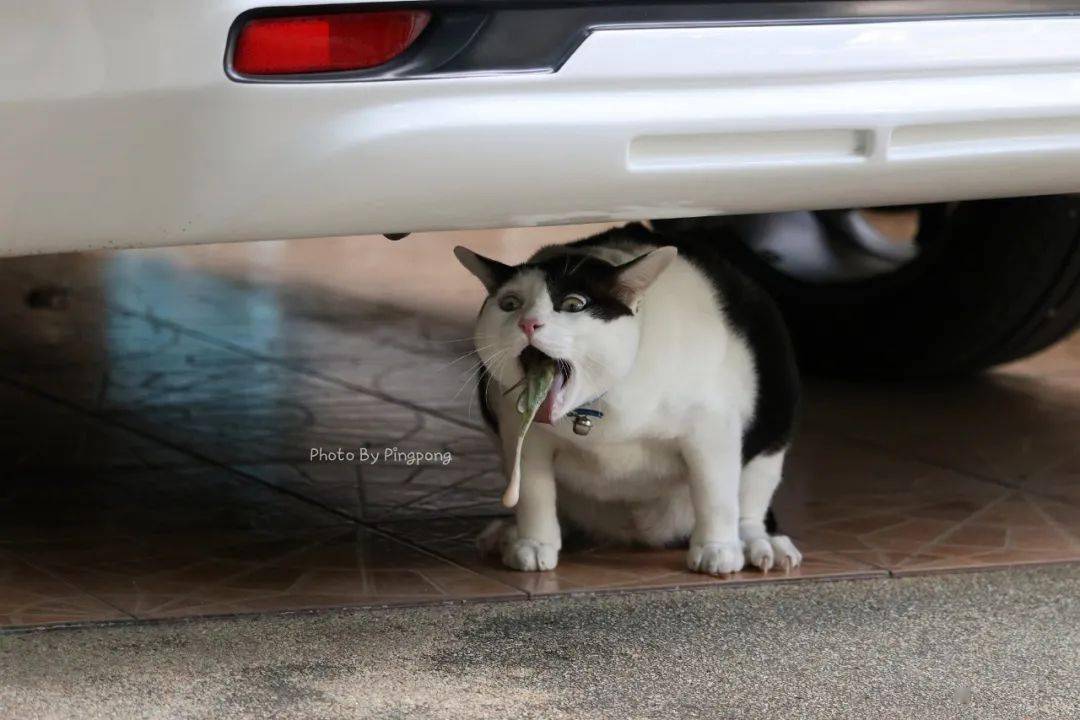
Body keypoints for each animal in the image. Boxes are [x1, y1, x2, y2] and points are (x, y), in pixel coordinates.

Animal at [451, 222, 799, 578]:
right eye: (509, 303)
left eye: (574, 305)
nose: (528, 324)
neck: (597, 411)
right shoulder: (524, 436)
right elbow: (534, 493)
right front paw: (534, 544)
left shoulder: (711, 430)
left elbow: (715, 492)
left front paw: (717, 549)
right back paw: (508, 534)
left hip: (772, 431)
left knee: (750, 501)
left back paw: (760, 543)